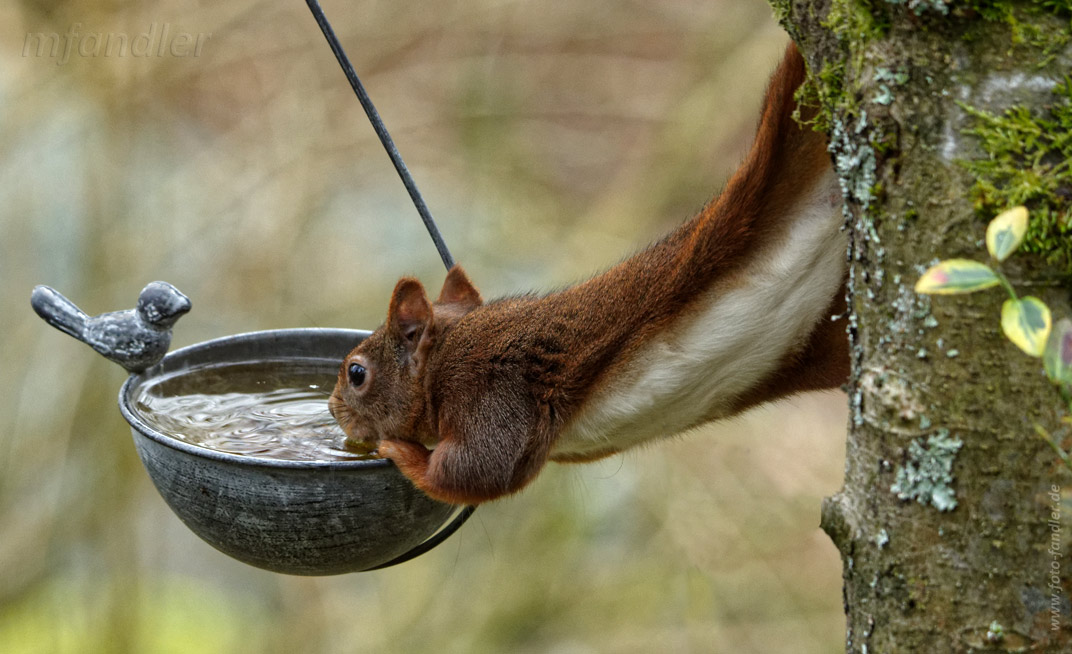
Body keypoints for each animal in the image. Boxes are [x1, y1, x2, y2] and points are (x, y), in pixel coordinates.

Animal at [330, 44, 849, 503]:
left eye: (357, 373)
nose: (333, 411)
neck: (444, 354)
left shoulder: (490, 389)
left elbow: (477, 471)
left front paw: (402, 452)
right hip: (824, 343)